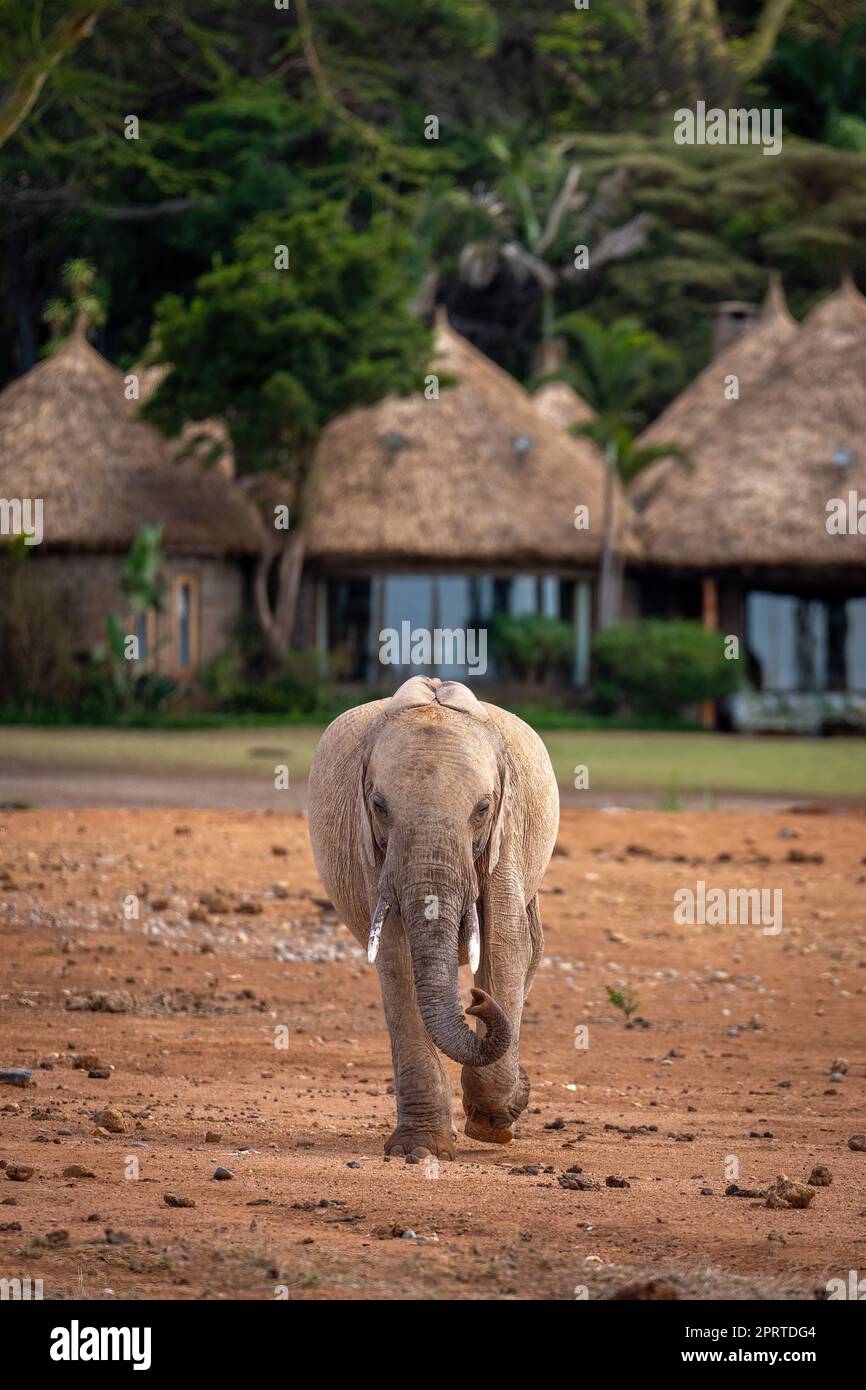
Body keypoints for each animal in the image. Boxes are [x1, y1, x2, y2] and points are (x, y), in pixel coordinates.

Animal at [308, 672, 558, 1162]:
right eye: (379, 805)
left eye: (483, 808)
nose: (475, 1001)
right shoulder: (374, 851)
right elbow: (396, 956)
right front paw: (421, 1149)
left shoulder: (507, 835)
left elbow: (503, 946)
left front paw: (492, 1126)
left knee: (530, 949)